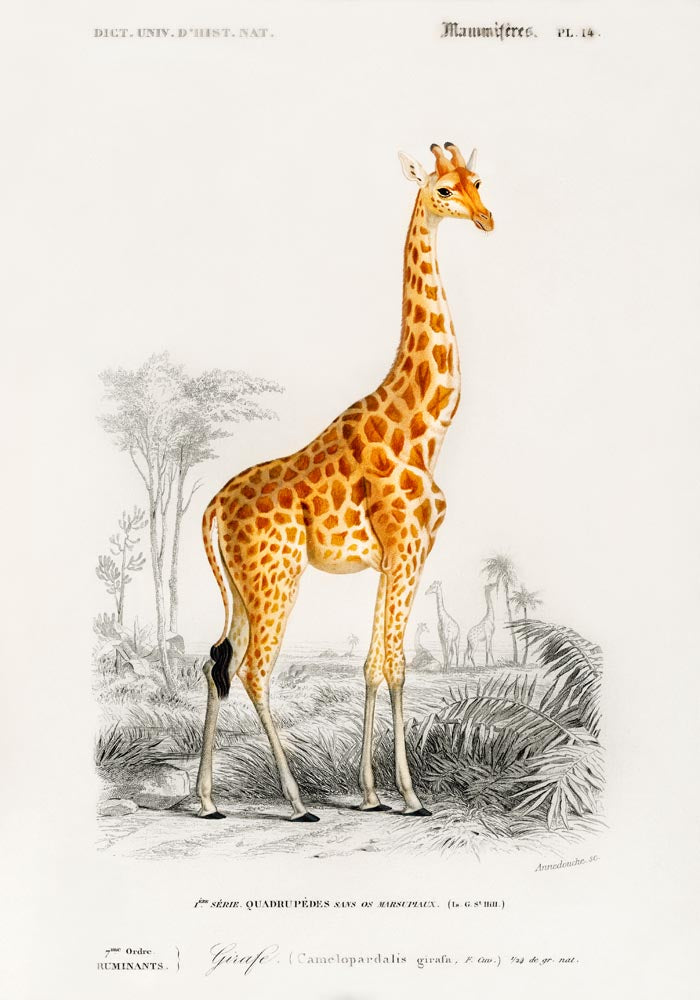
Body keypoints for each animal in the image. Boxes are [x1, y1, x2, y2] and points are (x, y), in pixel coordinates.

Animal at [196, 141, 494, 822]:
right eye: (442, 189)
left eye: (478, 180)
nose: (486, 218)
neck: (425, 428)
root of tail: (213, 507)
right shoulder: (408, 549)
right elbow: (398, 664)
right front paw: (411, 796)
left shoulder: (394, 558)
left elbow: (372, 665)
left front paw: (372, 793)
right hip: (276, 578)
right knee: (253, 670)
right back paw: (296, 801)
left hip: (245, 588)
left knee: (216, 661)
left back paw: (204, 800)